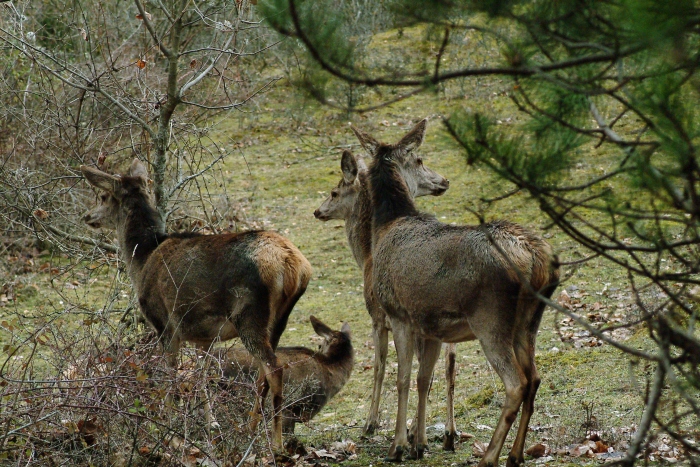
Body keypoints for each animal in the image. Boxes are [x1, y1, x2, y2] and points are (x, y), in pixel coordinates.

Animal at [80, 159, 312, 452]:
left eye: (102, 196)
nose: (87, 216)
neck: (142, 258)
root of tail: (293, 265)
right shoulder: (204, 336)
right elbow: (202, 376)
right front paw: (211, 423)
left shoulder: (164, 324)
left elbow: (170, 374)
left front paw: (166, 424)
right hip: (279, 319)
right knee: (265, 371)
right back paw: (250, 430)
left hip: (250, 314)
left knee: (274, 367)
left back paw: (276, 443)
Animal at [314, 122, 462, 452]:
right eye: (420, 160)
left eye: (333, 191)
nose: (318, 211)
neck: (367, 253)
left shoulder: (377, 315)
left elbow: (381, 367)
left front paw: (371, 424)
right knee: (449, 367)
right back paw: (448, 432)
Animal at [364, 122, 560, 466]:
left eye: (419, 158)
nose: (443, 180)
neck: (385, 227)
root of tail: (538, 258)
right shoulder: (430, 328)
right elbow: (423, 379)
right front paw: (418, 444)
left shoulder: (398, 313)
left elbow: (402, 379)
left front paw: (398, 446)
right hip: (529, 321)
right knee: (534, 378)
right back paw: (515, 454)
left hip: (490, 319)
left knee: (517, 383)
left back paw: (490, 456)